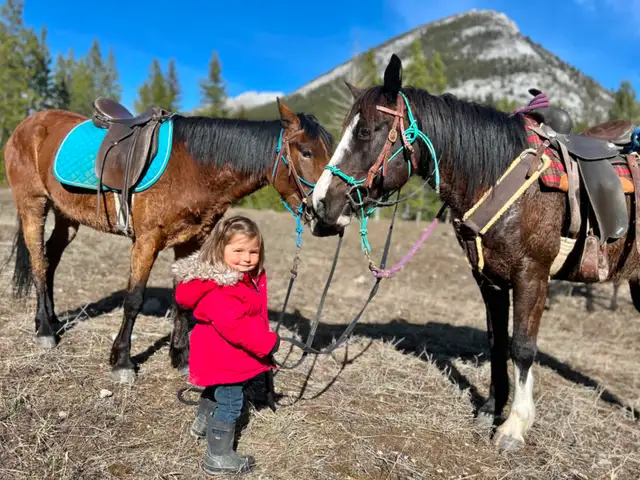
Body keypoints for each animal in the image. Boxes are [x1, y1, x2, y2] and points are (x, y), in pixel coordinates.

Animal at [3, 99, 333, 384]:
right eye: (305, 151)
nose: (329, 211)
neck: (193, 167)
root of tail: (27, 125)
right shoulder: (147, 241)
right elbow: (134, 300)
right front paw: (122, 362)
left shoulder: (191, 242)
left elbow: (184, 301)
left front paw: (181, 357)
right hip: (33, 205)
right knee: (38, 261)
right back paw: (45, 330)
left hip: (66, 215)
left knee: (51, 257)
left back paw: (51, 319)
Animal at [309, 54, 640, 451]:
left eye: (365, 132)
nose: (319, 204)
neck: (497, 177)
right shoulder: (489, 279)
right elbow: (497, 343)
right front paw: (490, 410)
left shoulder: (533, 275)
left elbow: (522, 347)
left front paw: (514, 426)